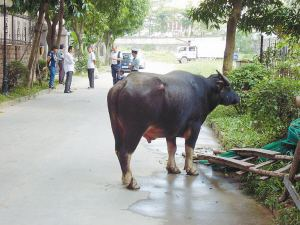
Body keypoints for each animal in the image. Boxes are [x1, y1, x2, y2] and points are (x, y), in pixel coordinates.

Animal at [106, 70, 240, 190]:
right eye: (229, 87)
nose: (238, 98)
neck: (206, 91)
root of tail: (124, 83)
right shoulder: (195, 126)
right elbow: (189, 149)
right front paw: (191, 170)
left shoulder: (171, 131)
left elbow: (172, 148)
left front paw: (172, 168)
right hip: (135, 130)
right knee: (125, 152)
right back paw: (131, 182)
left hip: (116, 128)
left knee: (118, 151)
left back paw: (124, 178)